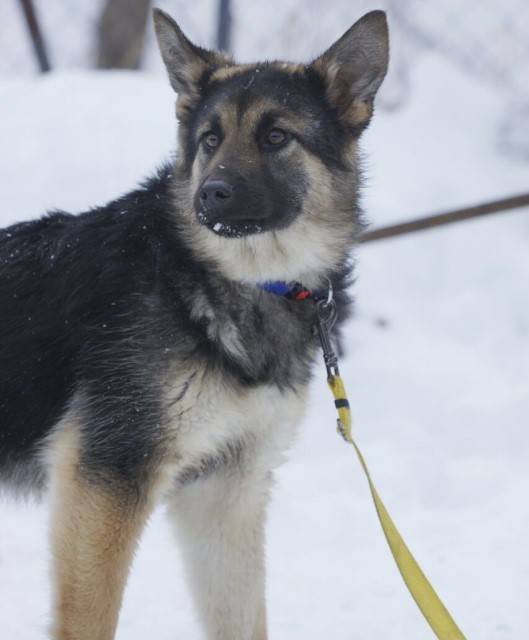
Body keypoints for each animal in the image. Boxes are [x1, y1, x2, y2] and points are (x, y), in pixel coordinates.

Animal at [0, 8, 388, 640]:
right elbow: (90, 618)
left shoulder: (225, 494)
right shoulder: (105, 480)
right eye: (211, 139)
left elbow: (243, 620)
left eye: (276, 137)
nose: (210, 195)